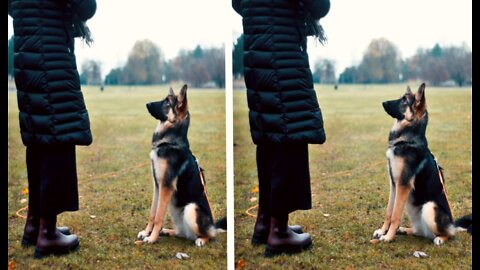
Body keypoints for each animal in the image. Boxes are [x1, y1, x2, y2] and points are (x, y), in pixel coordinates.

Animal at [137, 85, 227, 246]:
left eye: (167, 102)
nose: (147, 104)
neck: (170, 142)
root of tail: (212, 225)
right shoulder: (157, 186)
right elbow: (153, 213)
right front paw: (147, 233)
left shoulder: (166, 186)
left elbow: (158, 216)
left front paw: (152, 238)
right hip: (174, 209)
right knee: (182, 233)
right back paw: (168, 231)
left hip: (191, 208)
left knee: (210, 235)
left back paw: (201, 240)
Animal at [372, 84, 472, 245]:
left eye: (404, 100)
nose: (383, 102)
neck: (407, 140)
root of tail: (453, 224)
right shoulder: (394, 184)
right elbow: (389, 212)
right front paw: (382, 231)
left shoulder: (403, 185)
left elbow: (395, 216)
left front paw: (388, 237)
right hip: (413, 209)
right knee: (420, 231)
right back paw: (404, 230)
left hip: (429, 207)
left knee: (449, 234)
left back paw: (440, 239)